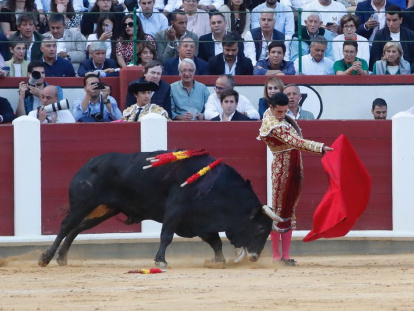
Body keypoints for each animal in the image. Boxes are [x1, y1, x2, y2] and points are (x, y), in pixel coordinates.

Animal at [38, 151, 284, 268]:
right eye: (260, 228)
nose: (254, 257)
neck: (214, 184)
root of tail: (88, 164)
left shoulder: (201, 222)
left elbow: (215, 242)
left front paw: (217, 261)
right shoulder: (176, 210)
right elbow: (166, 235)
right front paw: (160, 261)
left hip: (103, 210)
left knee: (76, 229)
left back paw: (62, 258)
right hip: (83, 204)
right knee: (65, 227)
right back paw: (46, 258)